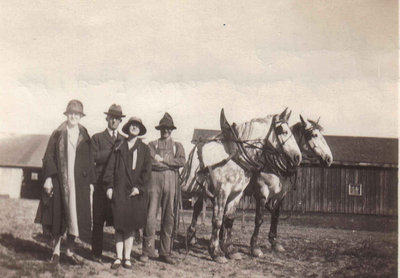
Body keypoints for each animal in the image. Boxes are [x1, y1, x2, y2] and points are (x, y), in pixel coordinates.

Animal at [180, 107, 302, 264]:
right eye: (283, 131)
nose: (297, 157)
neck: (234, 156)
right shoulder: (223, 192)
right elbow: (218, 221)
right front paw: (216, 252)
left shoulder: (237, 193)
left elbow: (229, 219)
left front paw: (230, 250)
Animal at [248, 114, 332, 256]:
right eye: (314, 135)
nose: (329, 159)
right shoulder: (262, 193)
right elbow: (259, 218)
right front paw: (254, 247)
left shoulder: (280, 195)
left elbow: (275, 215)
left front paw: (274, 242)